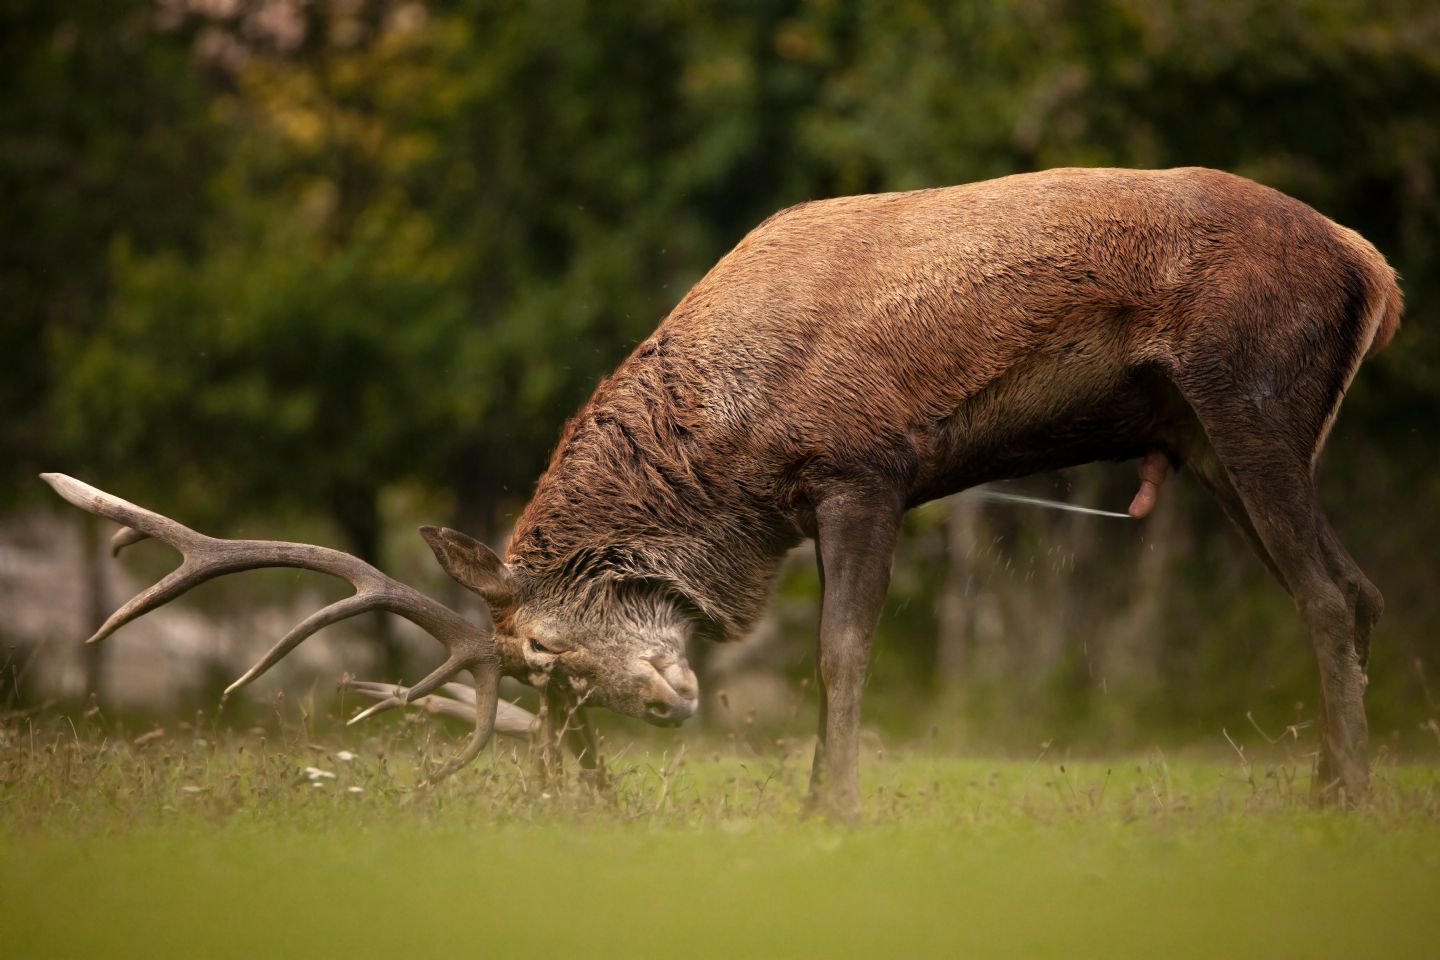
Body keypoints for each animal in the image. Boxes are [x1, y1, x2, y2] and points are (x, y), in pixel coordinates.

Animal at [45, 165, 1393, 817]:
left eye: (542, 655)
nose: (658, 708)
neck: (729, 455)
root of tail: (1370, 268)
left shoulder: (864, 465)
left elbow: (841, 654)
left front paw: (829, 810)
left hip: (1247, 392)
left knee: (1330, 594)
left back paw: (1344, 795)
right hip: (1209, 438)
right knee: (1360, 589)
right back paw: (1337, 778)